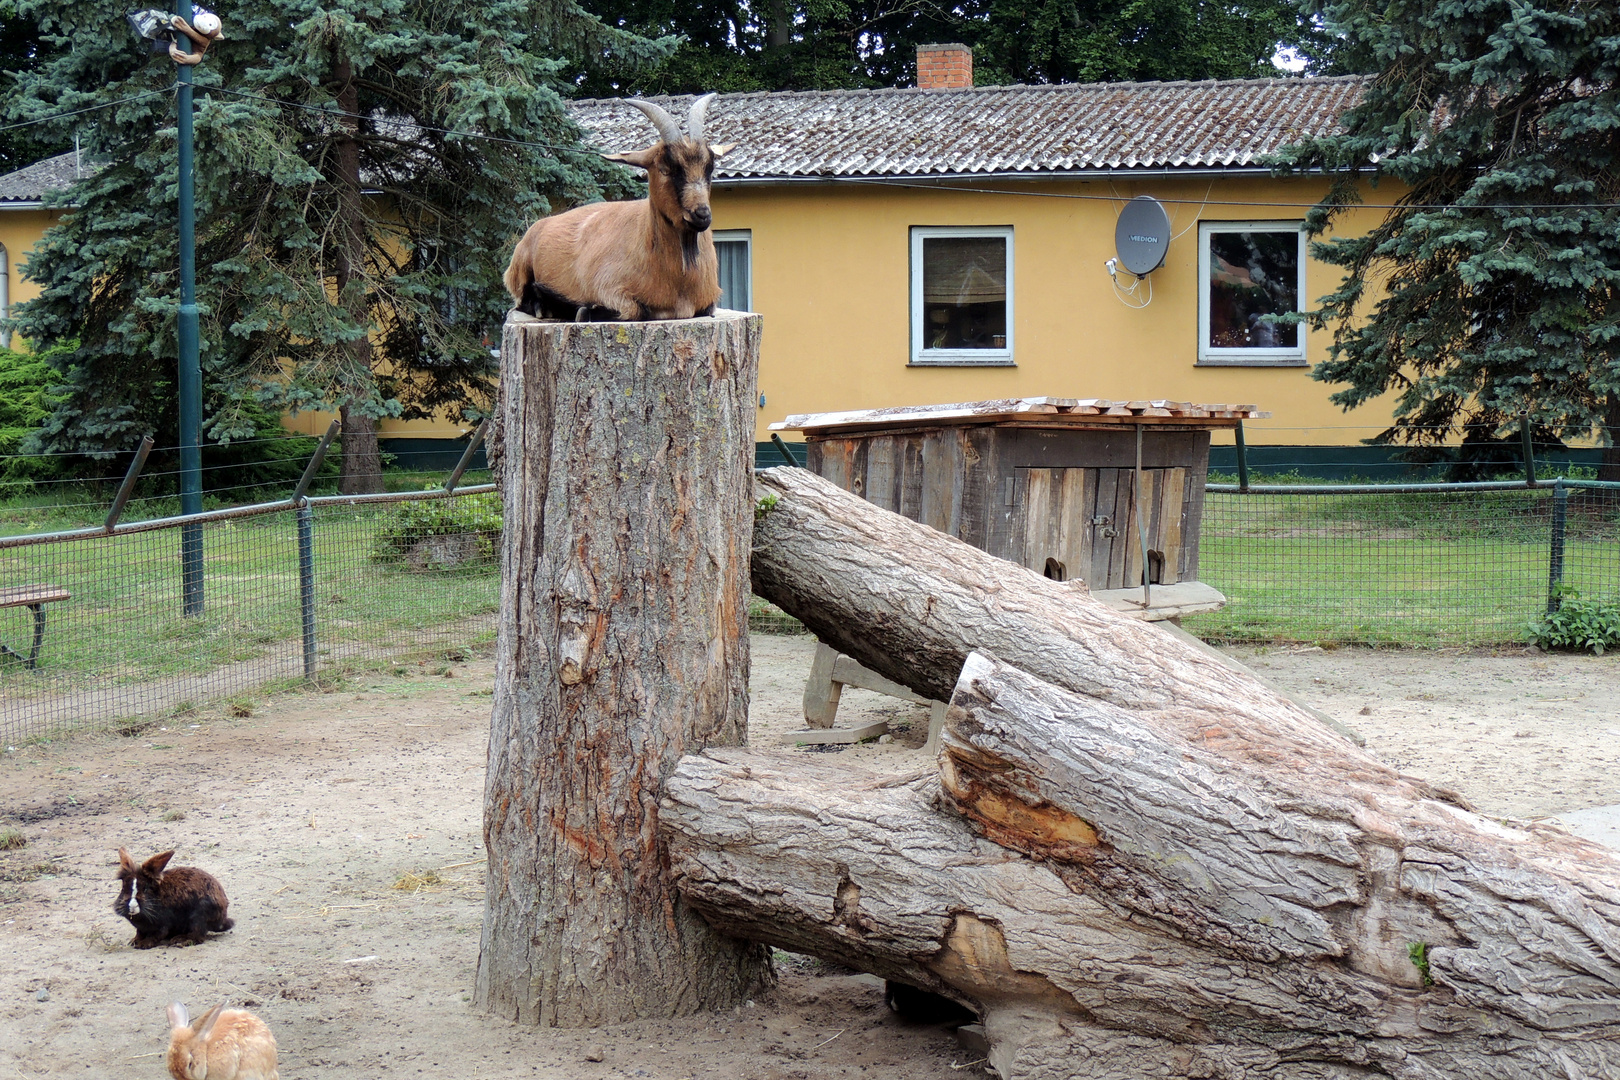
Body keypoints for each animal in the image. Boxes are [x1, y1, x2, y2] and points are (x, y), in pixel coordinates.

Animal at [502, 95, 738, 323]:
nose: (701, 215)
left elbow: (708, 308)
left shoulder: (708, 301)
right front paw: (583, 310)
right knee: (521, 301)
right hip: (521, 269)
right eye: (665, 168)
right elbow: (634, 310)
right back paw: (546, 306)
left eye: (710, 168)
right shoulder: (607, 284)